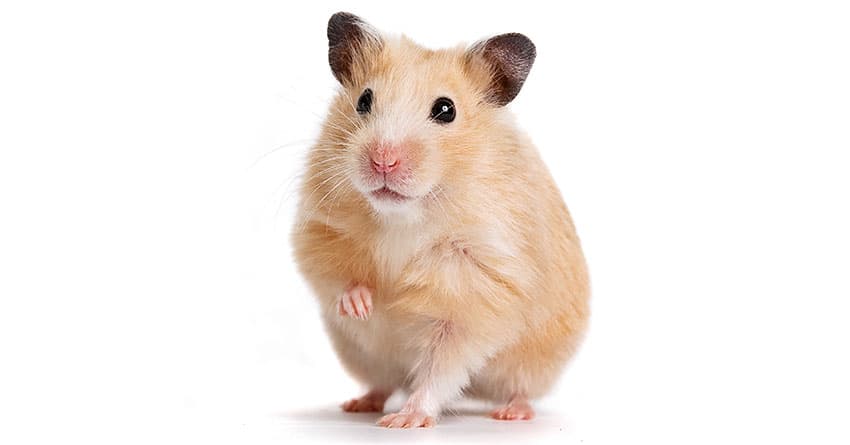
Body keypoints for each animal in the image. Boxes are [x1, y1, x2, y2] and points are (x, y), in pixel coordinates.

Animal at [291, 12, 589, 428]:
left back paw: (510, 413)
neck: (403, 216)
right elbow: (336, 275)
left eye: (446, 110)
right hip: (363, 356)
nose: (383, 161)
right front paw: (363, 305)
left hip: (535, 362)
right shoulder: (319, 228)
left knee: (518, 387)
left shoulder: (474, 294)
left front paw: (405, 421)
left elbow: (441, 366)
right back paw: (359, 404)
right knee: (383, 382)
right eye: (364, 100)